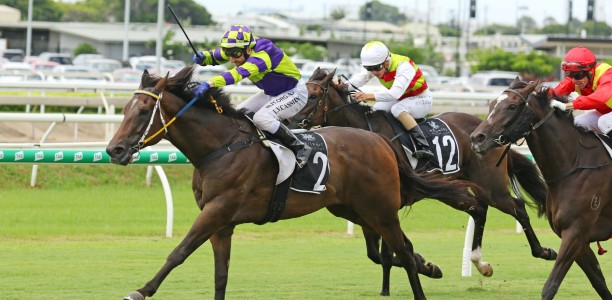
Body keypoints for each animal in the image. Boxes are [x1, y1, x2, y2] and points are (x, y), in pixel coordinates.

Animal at [106, 66, 478, 300]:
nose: (114, 150)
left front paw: (140, 290)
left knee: (402, 249)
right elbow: (220, 275)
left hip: (381, 209)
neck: (221, 147)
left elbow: (178, 252)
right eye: (124, 109)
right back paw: (429, 265)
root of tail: (381, 142)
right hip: (352, 209)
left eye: (143, 111)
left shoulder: (216, 211)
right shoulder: (223, 223)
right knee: (403, 247)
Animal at [286, 67, 556, 292]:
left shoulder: (386, 204)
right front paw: (423, 267)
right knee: (478, 210)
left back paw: (543, 251)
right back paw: (480, 262)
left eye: (312, 96)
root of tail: (484, 129)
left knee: (517, 208)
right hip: (454, 188)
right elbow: (376, 255)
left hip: (492, 187)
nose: (288, 122)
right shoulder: (369, 206)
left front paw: (419, 269)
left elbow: (387, 253)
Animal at [470, 78, 608, 298]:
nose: (476, 138)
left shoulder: (576, 231)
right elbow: (599, 282)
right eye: (491, 105)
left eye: (512, 106)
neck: (574, 163)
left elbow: (550, 286)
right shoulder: (576, 237)